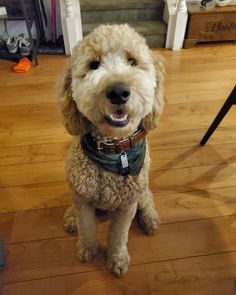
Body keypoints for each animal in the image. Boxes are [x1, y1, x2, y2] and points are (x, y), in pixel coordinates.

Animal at [59, 24, 164, 278]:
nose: (118, 91)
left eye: (133, 61)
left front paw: (117, 260)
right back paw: (70, 216)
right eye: (94, 64)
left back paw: (150, 220)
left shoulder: (127, 206)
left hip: (141, 192)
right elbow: (86, 227)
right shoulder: (83, 199)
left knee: (148, 199)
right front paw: (87, 249)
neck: (113, 149)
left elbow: (118, 236)